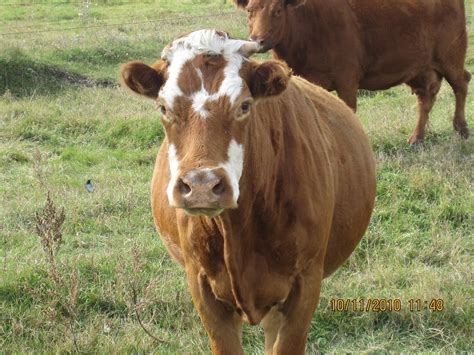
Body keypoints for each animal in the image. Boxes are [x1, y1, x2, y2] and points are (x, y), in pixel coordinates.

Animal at [235, 0, 472, 145]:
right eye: (249, 11)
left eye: (277, 10)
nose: (257, 40)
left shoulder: (347, 79)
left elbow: (347, 110)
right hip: (420, 69)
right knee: (426, 98)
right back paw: (416, 138)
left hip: (451, 57)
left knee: (461, 83)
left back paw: (461, 128)